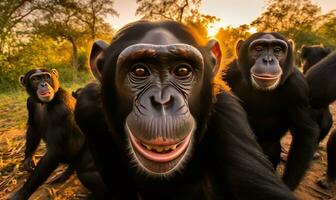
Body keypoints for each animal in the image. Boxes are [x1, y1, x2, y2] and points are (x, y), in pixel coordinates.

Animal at [11, 69, 105, 200]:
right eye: (35, 79)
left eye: (46, 77)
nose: (43, 84)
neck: (43, 103)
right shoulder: (30, 103)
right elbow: (33, 129)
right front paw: (28, 158)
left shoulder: (61, 108)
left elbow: (54, 151)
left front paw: (22, 193)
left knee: (87, 173)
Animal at [223, 32, 320, 190]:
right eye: (258, 48)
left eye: (277, 50)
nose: (268, 60)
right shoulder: (229, 72)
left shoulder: (298, 87)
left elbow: (305, 131)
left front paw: (287, 185)